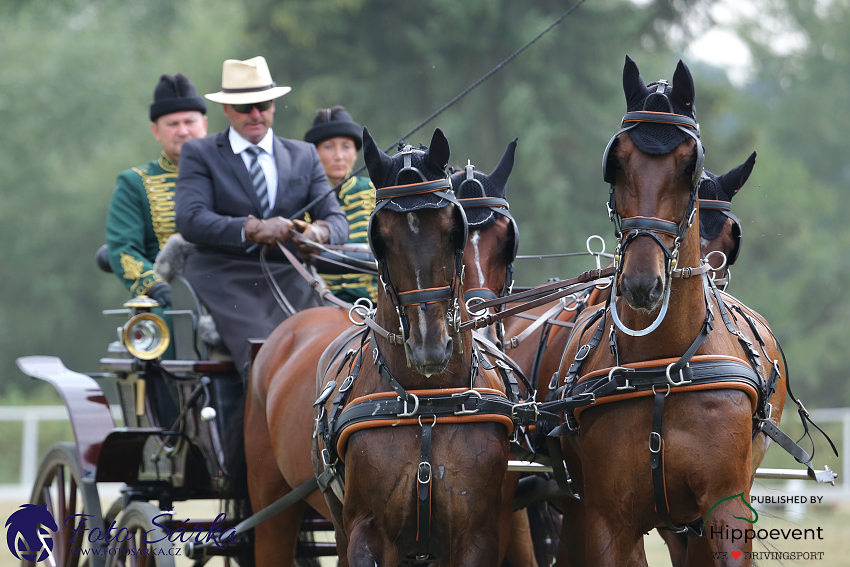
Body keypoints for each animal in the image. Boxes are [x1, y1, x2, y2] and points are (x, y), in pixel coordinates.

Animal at [242, 130, 528, 567]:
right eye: (381, 239)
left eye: (453, 230)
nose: (429, 346)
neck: (428, 402)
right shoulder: (368, 533)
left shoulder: (478, 535)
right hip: (274, 505)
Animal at [548, 57, 788, 567]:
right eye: (616, 162)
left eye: (688, 166)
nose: (643, 283)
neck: (664, 366)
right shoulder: (608, 519)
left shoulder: (724, 507)